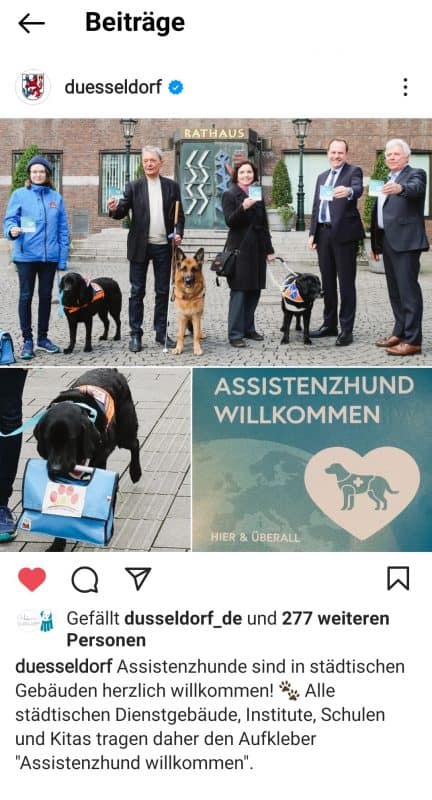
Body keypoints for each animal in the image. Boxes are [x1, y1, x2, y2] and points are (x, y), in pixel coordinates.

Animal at [34, 368, 142, 552]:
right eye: (48, 439)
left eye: (70, 439)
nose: (55, 469)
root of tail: (112, 370)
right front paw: (58, 543)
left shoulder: (99, 459)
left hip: (124, 433)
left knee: (135, 443)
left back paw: (136, 472)